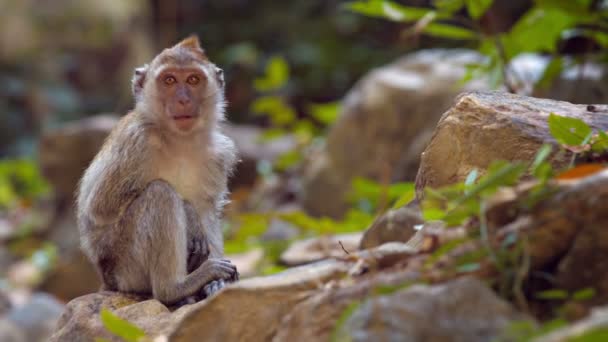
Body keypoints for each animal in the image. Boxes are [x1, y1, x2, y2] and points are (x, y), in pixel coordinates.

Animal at [74, 36, 238, 306]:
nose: (183, 100)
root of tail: (108, 281)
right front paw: (189, 213)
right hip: (127, 268)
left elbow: (208, 211)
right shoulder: (136, 141)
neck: (178, 140)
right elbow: (100, 208)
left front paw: (216, 284)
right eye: (169, 80)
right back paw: (175, 288)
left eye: (193, 80)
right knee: (160, 193)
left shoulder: (220, 154)